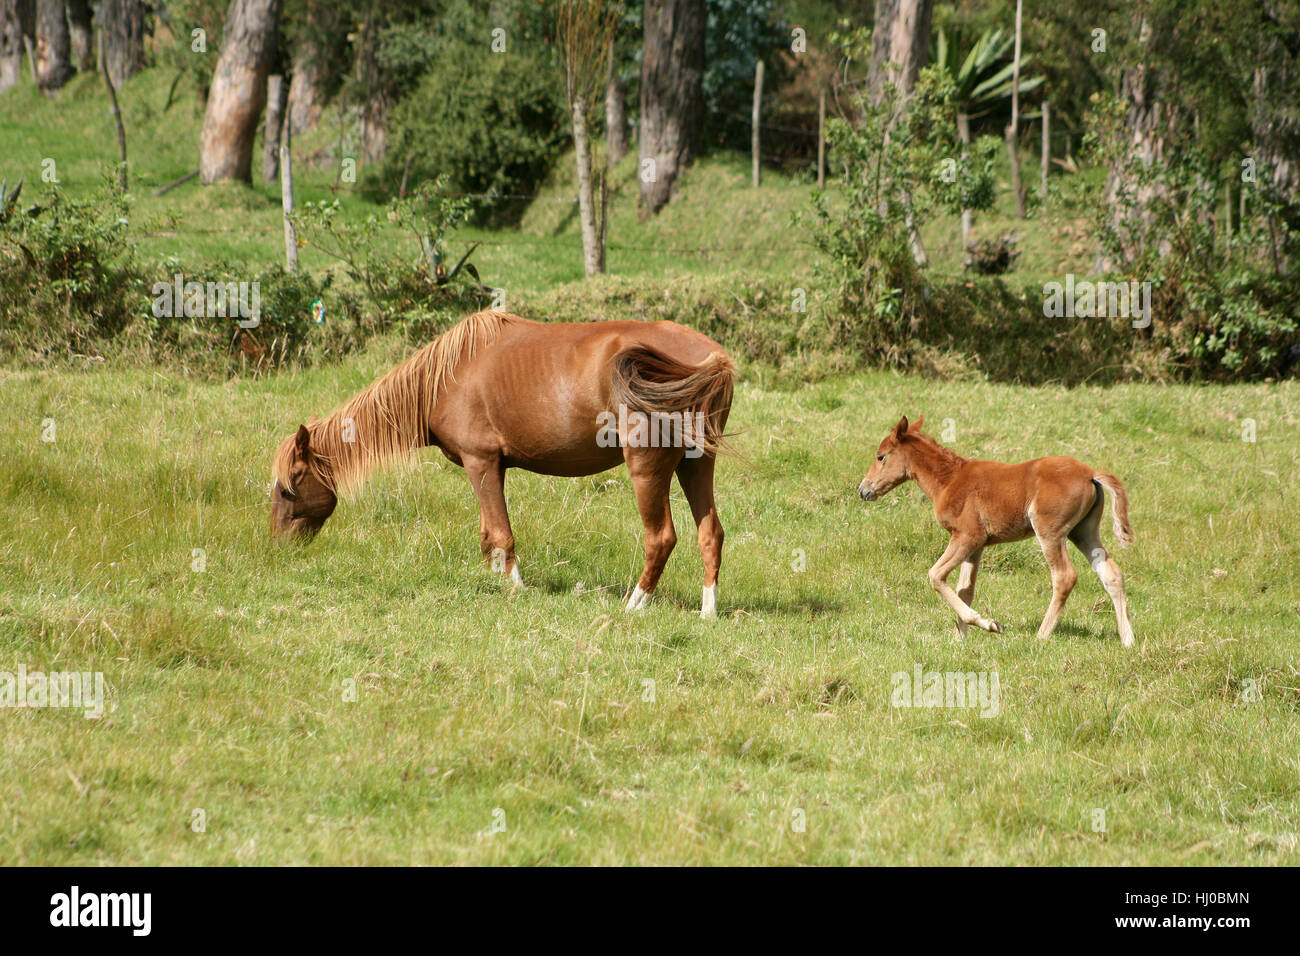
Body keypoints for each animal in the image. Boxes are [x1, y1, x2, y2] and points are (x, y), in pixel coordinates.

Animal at [270, 310, 735, 618]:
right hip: (696, 464)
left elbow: (501, 533)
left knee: (661, 538)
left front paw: (513, 587)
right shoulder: (487, 469)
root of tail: (711, 358)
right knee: (710, 533)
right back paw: (707, 612)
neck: (446, 377)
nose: (277, 546)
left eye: (289, 485)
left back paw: (635, 604)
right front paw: (491, 580)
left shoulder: (481, 463)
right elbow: (488, 533)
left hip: (647, 470)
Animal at [857, 416, 1135, 646]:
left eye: (881, 456)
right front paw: (960, 639)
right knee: (1112, 575)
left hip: (1050, 532)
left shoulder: (967, 536)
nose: (863, 489)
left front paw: (988, 624)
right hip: (1083, 531)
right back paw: (1128, 640)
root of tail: (1090, 473)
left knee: (1064, 576)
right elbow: (965, 589)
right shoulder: (976, 545)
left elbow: (935, 575)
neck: (949, 480)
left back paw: (1041, 636)